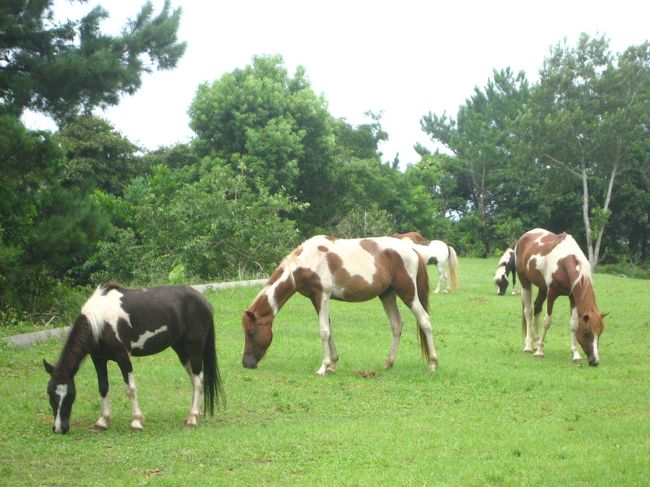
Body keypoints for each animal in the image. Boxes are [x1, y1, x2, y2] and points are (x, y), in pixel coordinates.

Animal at [43, 284, 224, 434]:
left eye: (71, 394)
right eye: (50, 393)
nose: (59, 428)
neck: (100, 321)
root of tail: (204, 301)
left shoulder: (123, 358)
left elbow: (130, 389)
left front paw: (136, 421)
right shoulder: (98, 358)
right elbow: (103, 387)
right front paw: (103, 421)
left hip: (194, 349)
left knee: (198, 381)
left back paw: (193, 418)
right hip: (182, 351)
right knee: (195, 380)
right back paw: (193, 415)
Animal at [241, 236, 438, 375]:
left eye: (251, 332)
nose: (246, 363)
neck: (307, 261)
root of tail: (412, 249)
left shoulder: (322, 295)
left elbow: (323, 331)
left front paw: (323, 367)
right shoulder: (315, 298)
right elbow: (329, 330)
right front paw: (333, 364)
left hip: (408, 293)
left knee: (425, 321)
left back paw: (432, 364)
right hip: (387, 295)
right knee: (397, 325)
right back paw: (388, 363)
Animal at [514, 228, 606, 366]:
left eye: (599, 332)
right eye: (586, 332)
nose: (595, 361)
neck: (564, 263)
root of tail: (525, 235)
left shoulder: (573, 297)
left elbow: (574, 323)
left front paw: (576, 354)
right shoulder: (552, 293)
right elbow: (547, 321)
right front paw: (540, 350)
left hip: (542, 288)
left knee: (537, 308)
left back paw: (536, 341)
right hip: (525, 282)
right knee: (528, 313)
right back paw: (529, 345)